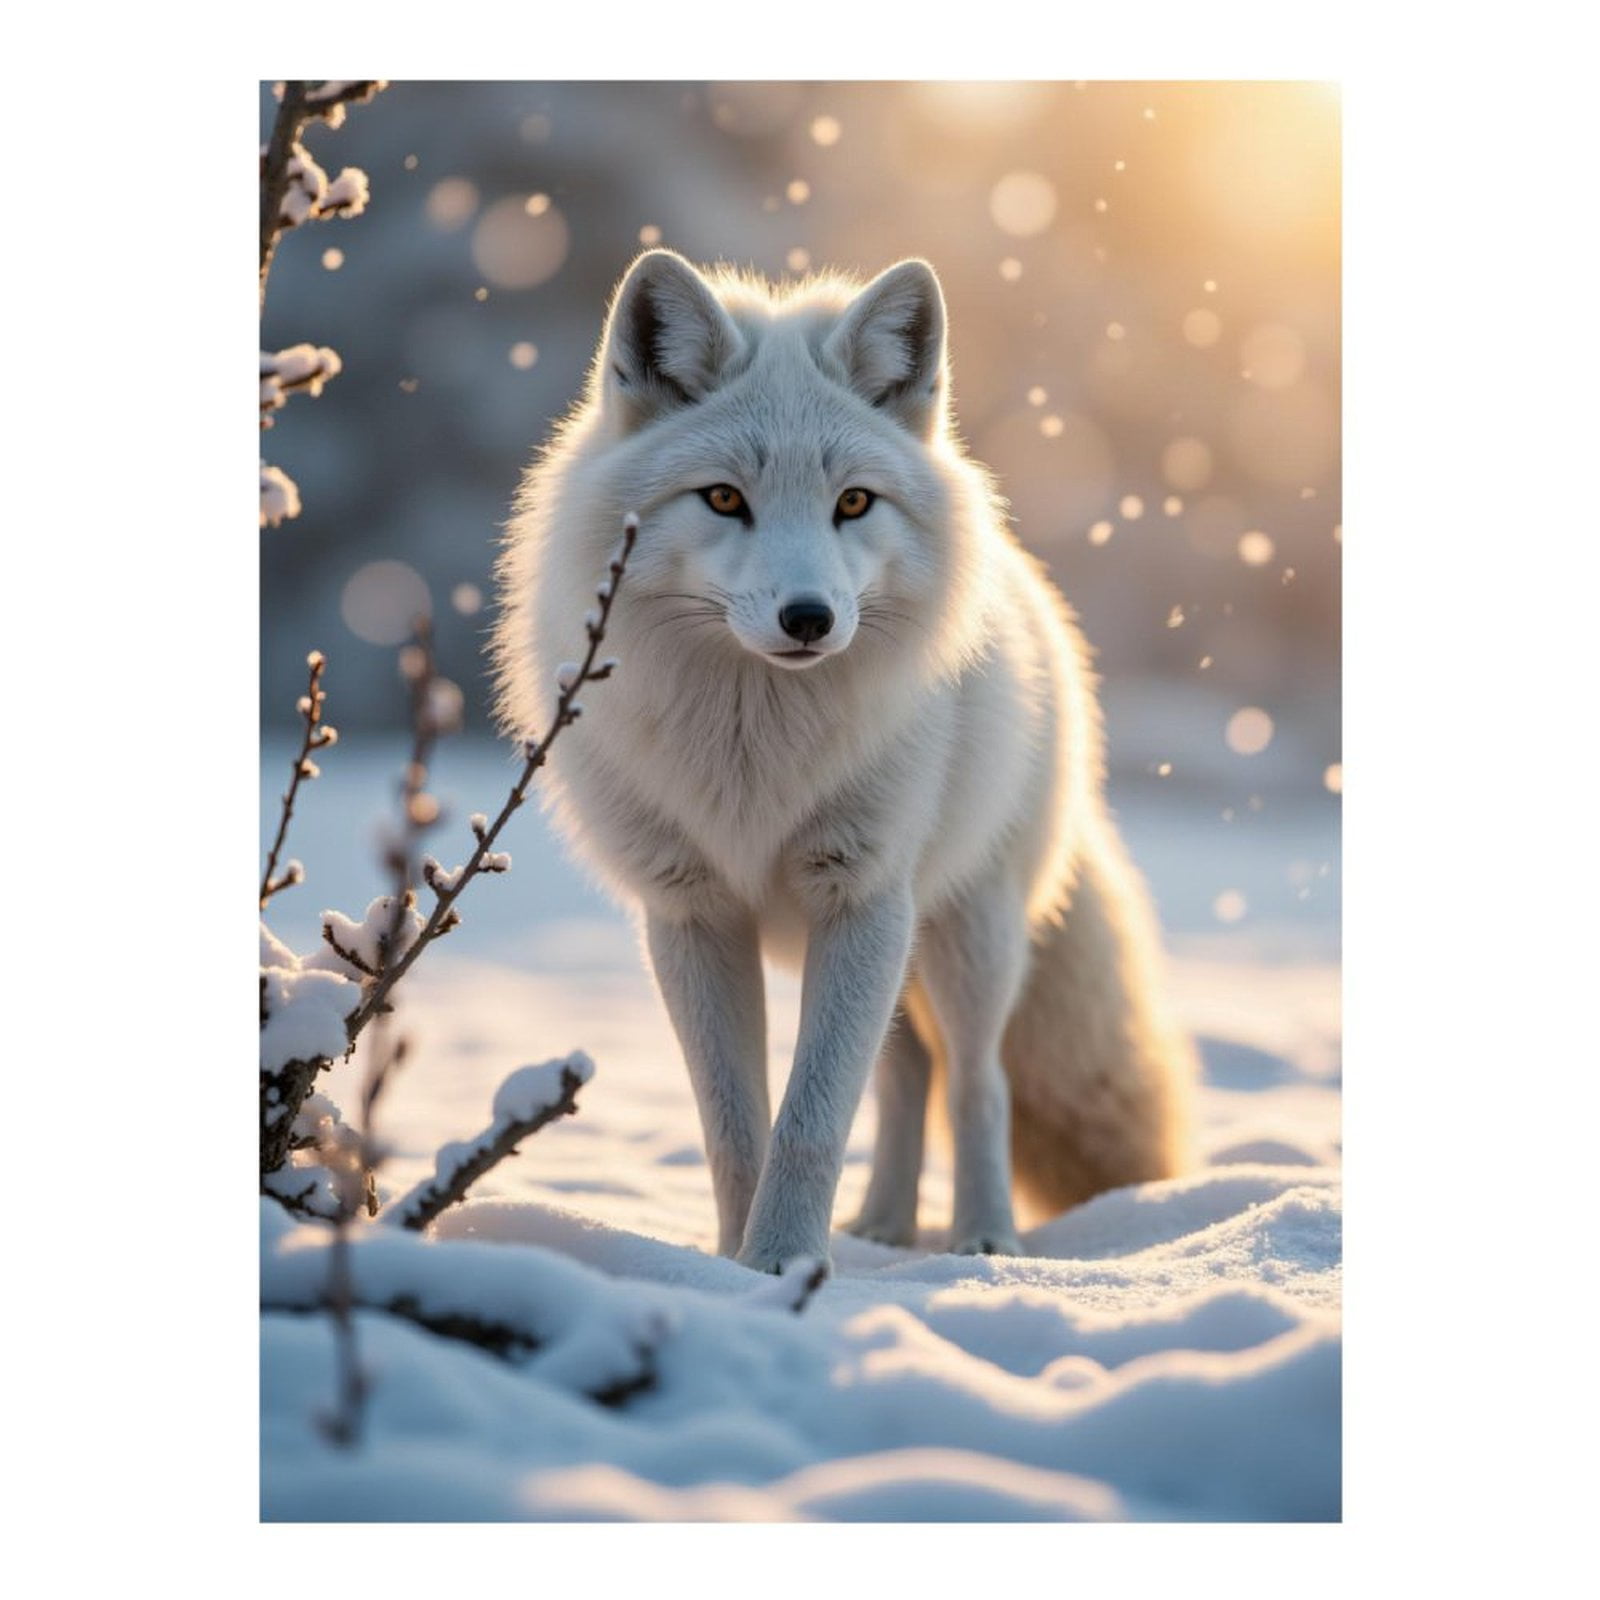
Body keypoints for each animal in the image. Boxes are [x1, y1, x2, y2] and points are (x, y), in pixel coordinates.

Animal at [492, 249, 1196, 1272]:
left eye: (853, 502)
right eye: (724, 498)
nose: (809, 619)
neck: (753, 751)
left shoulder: (861, 895)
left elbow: (812, 1120)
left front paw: (783, 1263)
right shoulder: (692, 914)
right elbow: (734, 1124)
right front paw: (737, 1269)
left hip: (963, 936)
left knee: (976, 1082)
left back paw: (982, 1240)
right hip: (897, 960)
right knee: (908, 1078)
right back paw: (885, 1227)